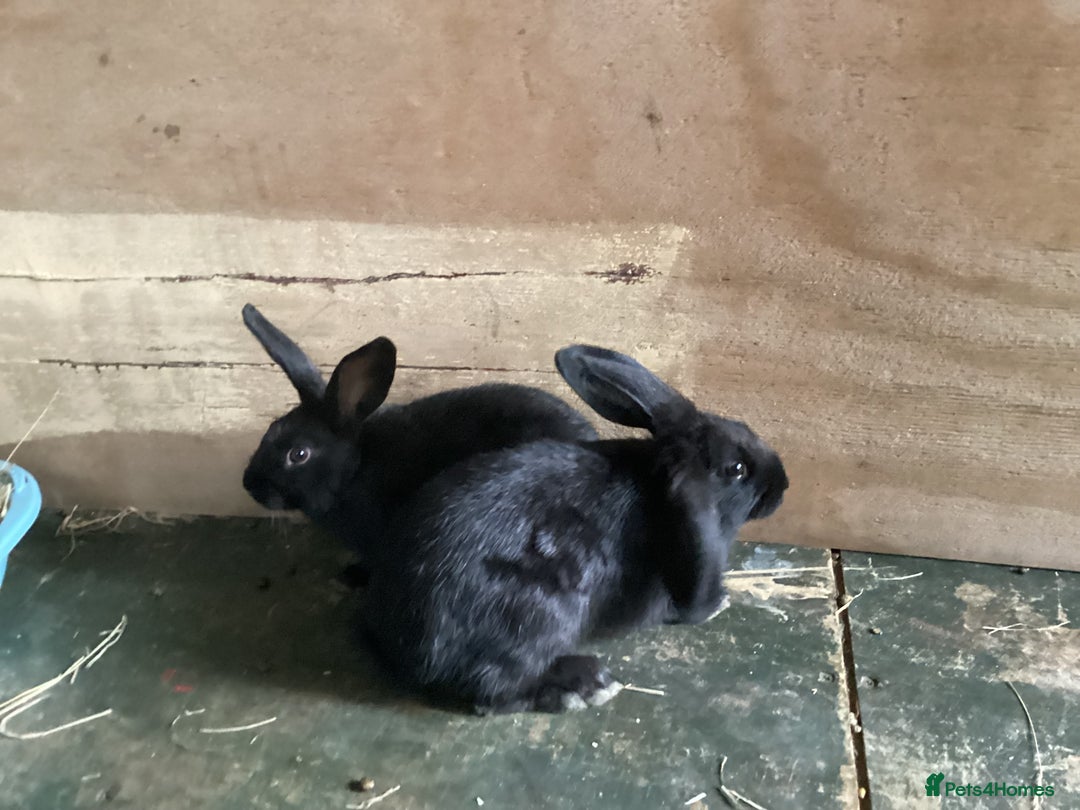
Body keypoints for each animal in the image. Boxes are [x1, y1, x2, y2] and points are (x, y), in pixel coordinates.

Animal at [355, 344, 789, 714]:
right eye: (736, 470)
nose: (782, 485)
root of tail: (404, 643)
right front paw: (718, 603)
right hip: (539, 613)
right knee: (492, 692)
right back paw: (582, 687)